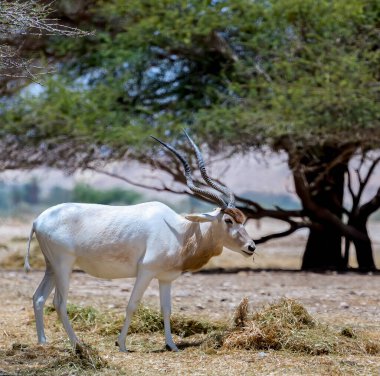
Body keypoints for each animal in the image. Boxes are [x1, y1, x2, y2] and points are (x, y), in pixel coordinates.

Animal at [26, 133, 255, 352]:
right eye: (228, 220)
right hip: (63, 266)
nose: (251, 247)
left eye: (242, 218)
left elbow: (166, 309)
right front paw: (121, 345)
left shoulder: (165, 278)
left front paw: (171, 345)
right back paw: (77, 345)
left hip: (51, 267)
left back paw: (43, 342)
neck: (179, 231)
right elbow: (132, 305)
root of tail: (38, 220)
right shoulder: (145, 271)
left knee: (38, 297)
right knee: (59, 302)